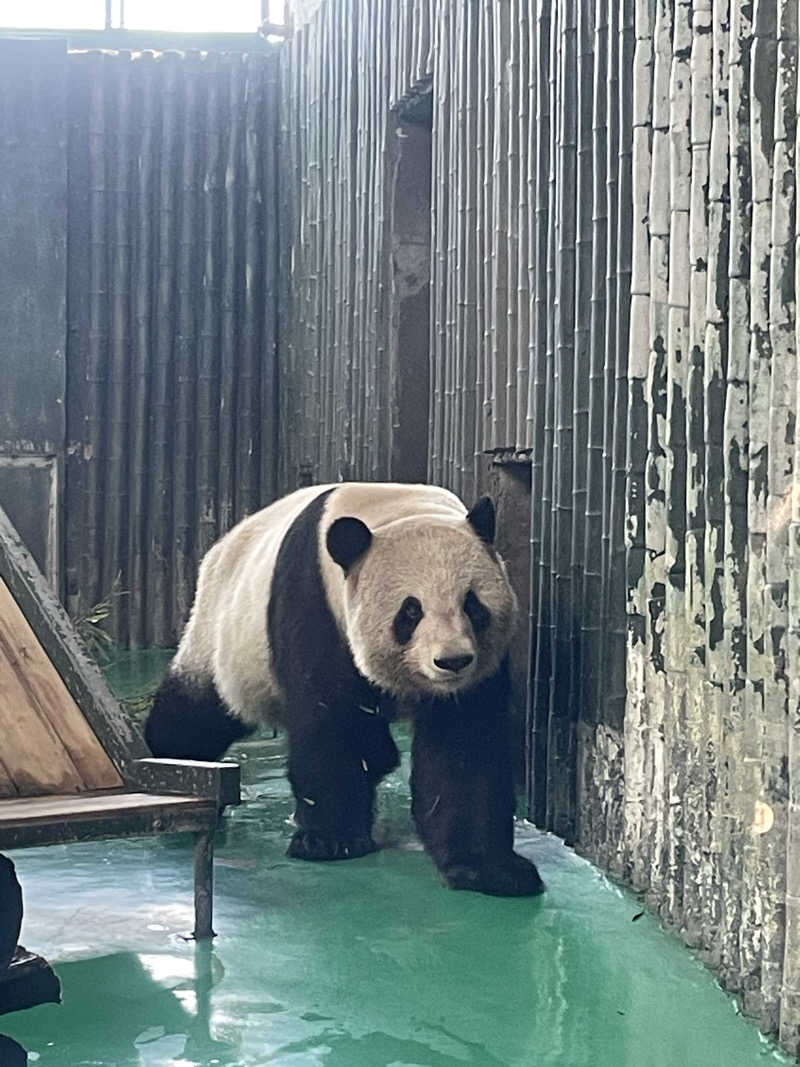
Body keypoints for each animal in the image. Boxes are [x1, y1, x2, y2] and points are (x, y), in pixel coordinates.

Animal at [146, 480, 546, 896]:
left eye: (473, 605)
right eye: (411, 611)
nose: (452, 661)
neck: (395, 509)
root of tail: (218, 549)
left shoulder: (480, 667)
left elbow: (464, 746)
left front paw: (492, 870)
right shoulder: (315, 604)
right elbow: (331, 723)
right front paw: (330, 841)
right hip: (223, 640)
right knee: (194, 715)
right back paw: (174, 761)